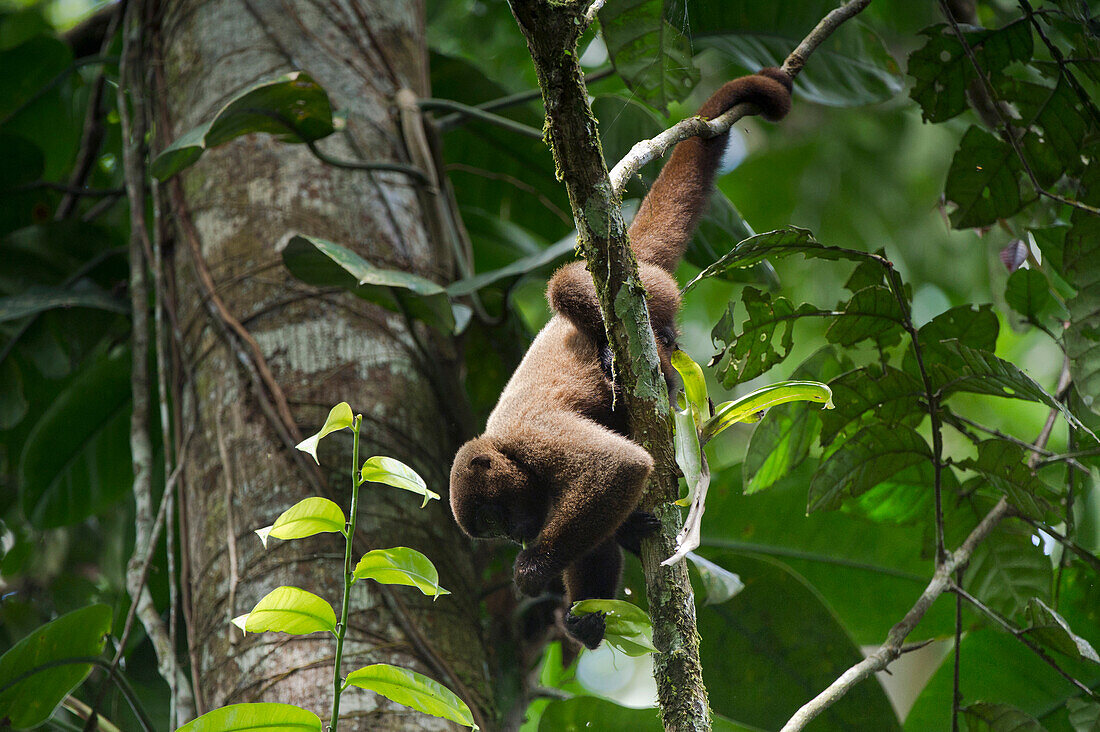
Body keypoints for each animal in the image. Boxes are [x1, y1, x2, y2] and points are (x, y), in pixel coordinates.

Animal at [446, 68, 792, 647]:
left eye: (495, 517)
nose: (517, 538)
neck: (506, 451)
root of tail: (628, 260)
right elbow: (597, 540)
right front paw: (583, 616)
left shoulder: (535, 438)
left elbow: (617, 467)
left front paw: (532, 571)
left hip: (650, 289)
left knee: (566, 284)